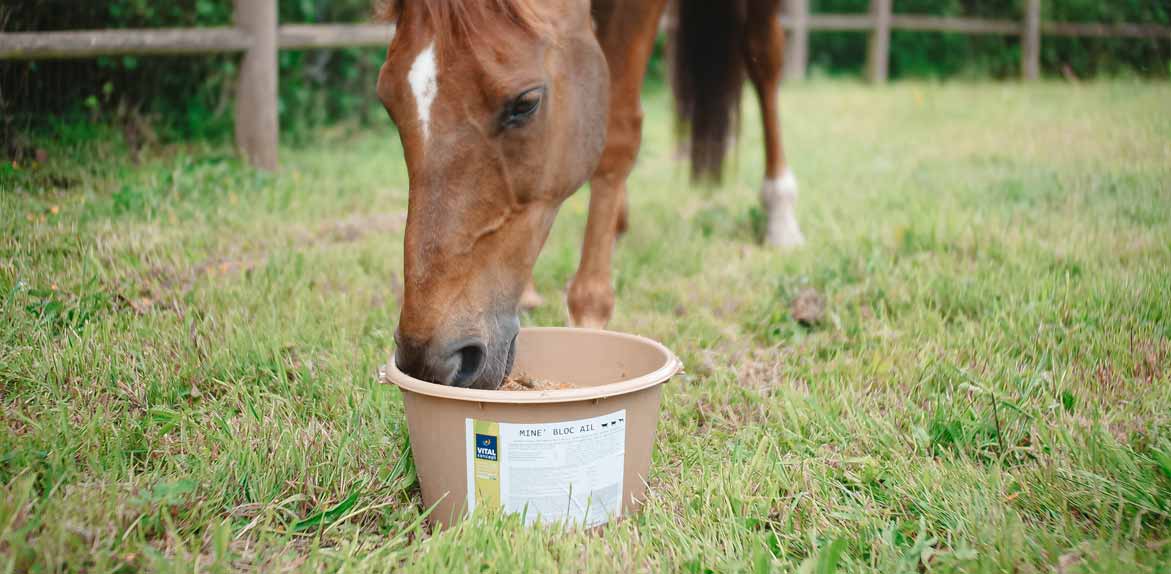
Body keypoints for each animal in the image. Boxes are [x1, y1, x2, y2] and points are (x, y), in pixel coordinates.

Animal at [379, 0, 800, 388]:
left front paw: (590, 310)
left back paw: (780, 213)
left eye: (526, 102)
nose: (430, 360)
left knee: (764, 53)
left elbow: (619, 129)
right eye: (388, 101)